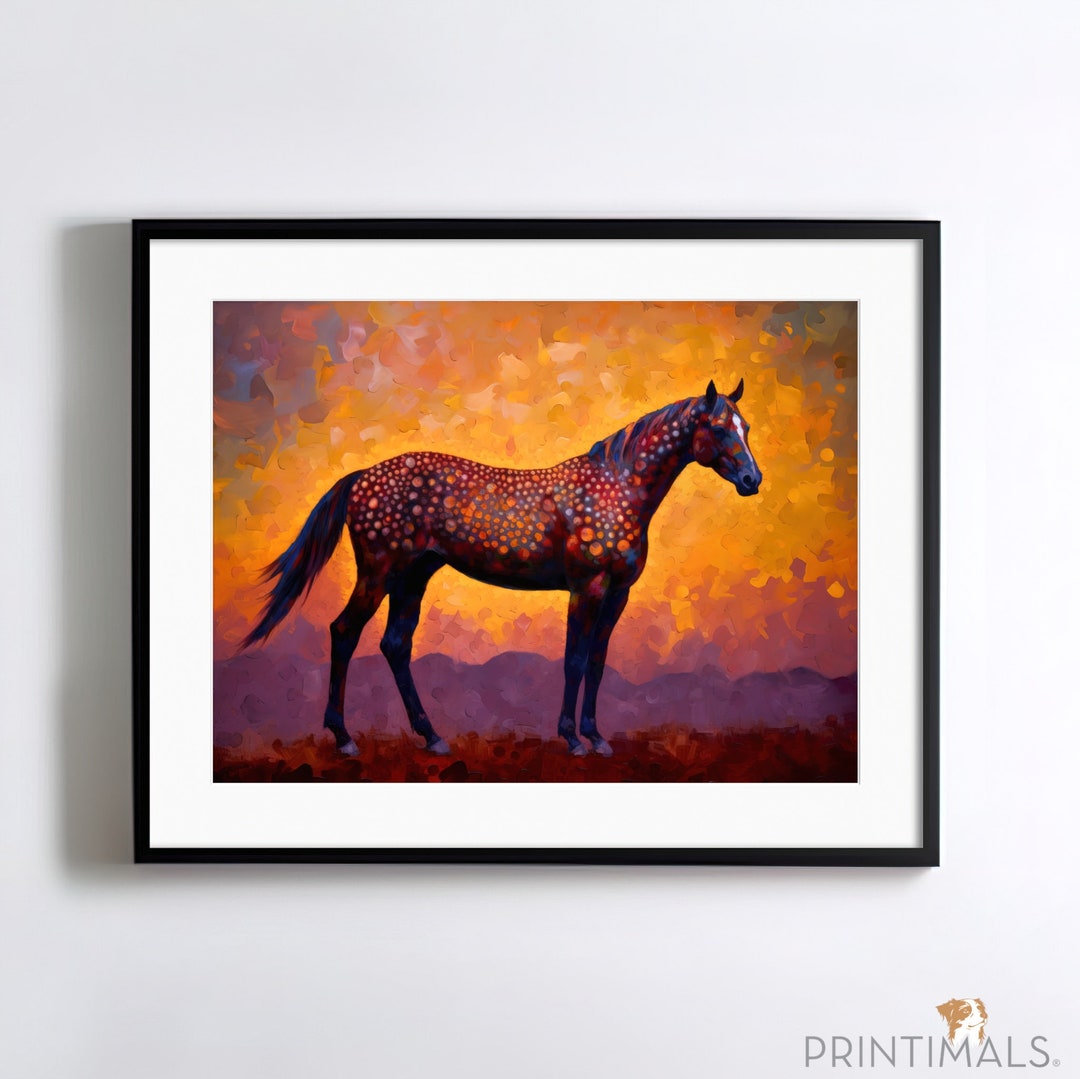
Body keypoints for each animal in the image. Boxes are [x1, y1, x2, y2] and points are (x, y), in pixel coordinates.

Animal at [241, 378, 762, 756]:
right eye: (719, 428)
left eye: (747, 428)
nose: (752, 479)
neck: (618, 487)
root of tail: (362, 476)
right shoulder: (587, 588)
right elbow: (574, 660)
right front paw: (572, 738)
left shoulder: (618, 593)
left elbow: (597, 661)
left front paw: (596, 736)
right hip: (379, 572)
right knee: (345, 631)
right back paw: (345, 738)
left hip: (413, 576)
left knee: (395, 645)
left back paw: (432, 737)